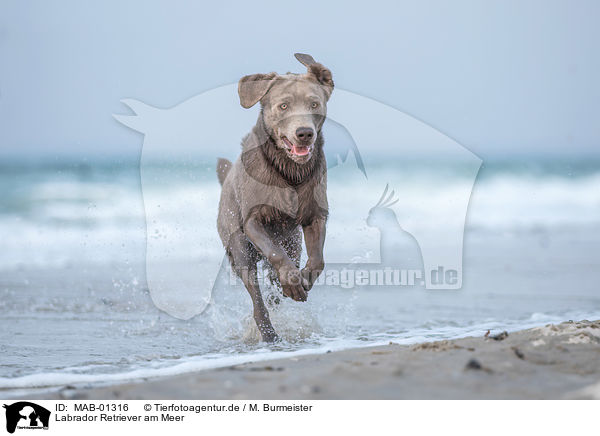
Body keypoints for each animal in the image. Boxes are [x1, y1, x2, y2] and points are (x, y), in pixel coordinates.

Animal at [216, 52, 332, 342]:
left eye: (314, 104)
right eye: (283, 106)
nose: (304, 133)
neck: (289, 172)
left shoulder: (315, 213)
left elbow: (317, 258)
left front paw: (303, 279)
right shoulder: (253, 220)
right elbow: (275, 252)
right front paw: (293, 282)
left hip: (292, 241)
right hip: (238, 246)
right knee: (256, 294)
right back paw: (268, 332)